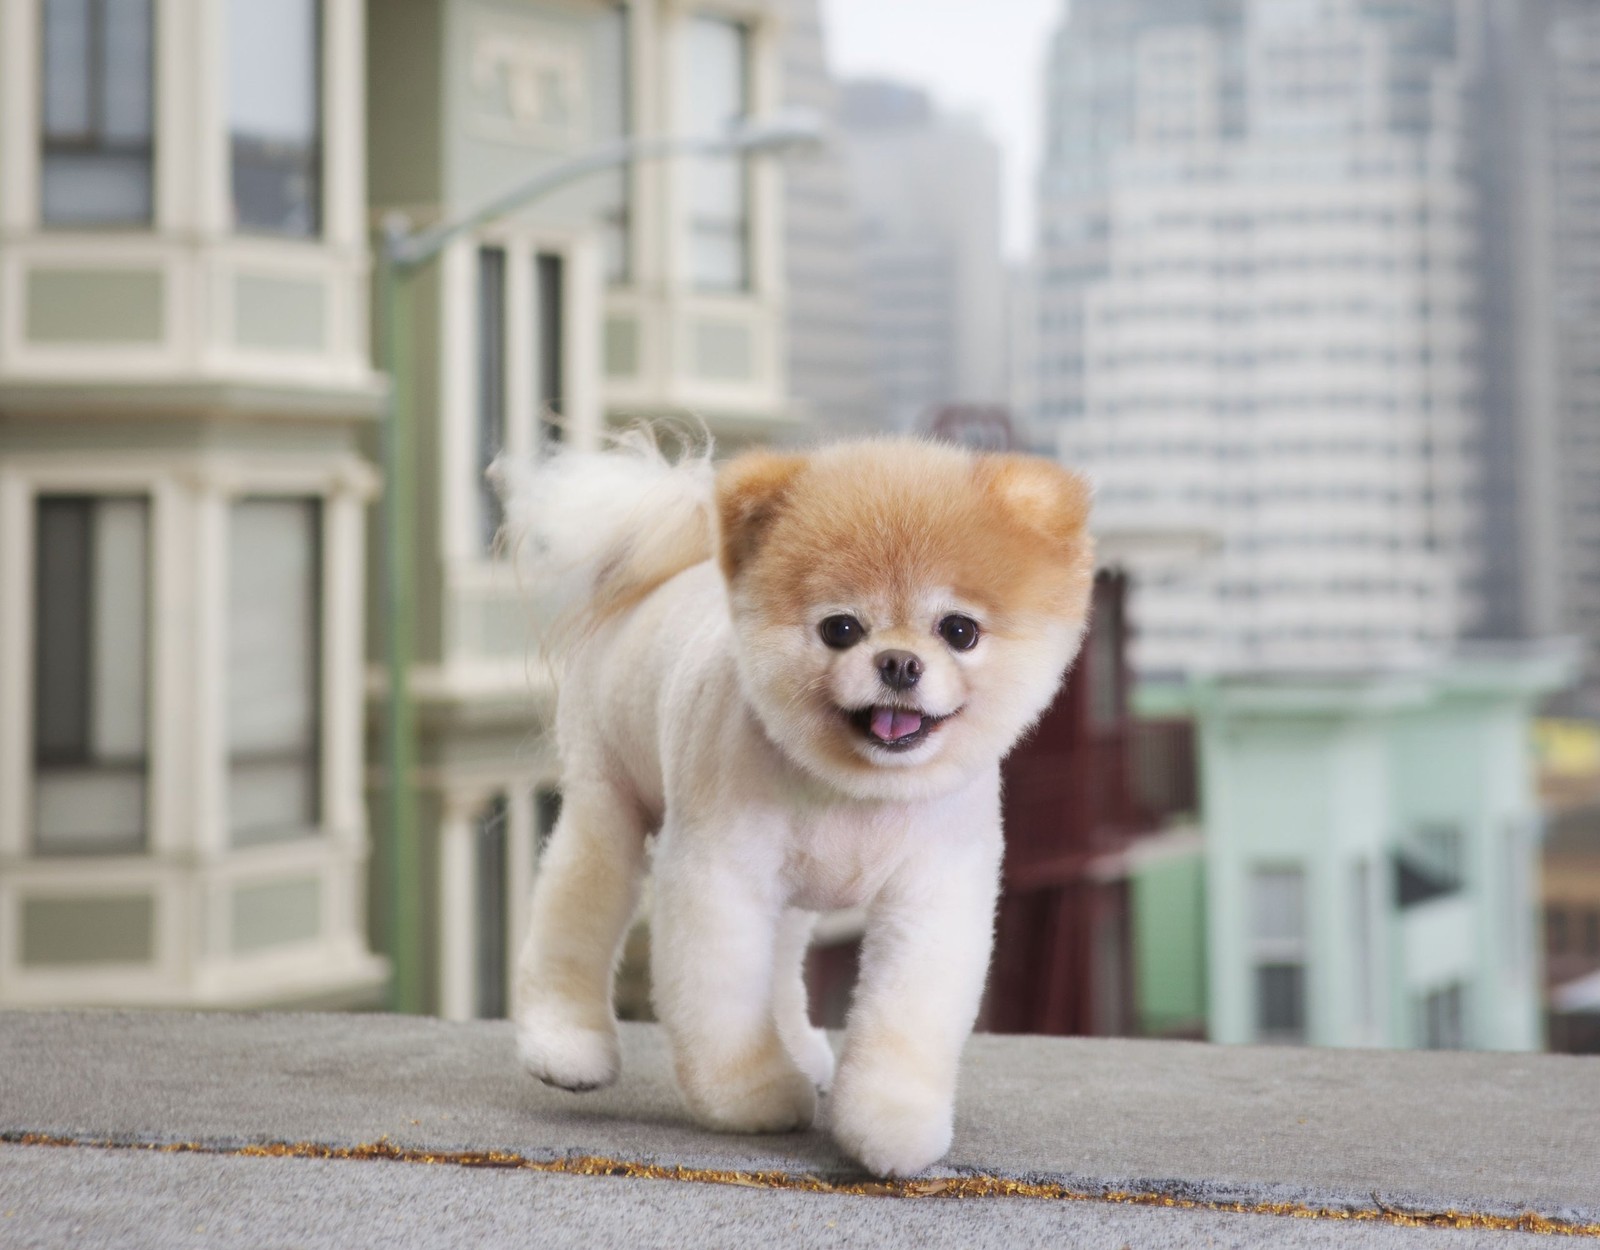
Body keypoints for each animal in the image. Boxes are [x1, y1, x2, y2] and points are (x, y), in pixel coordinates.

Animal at [499, 428, 1094, 1171]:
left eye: (959, 631)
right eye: (840, 629)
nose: (899, 663)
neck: (856, 791)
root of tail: (659, 573)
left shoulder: (932, 896)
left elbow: (905, 1017)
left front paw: (889, 1123)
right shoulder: (719, 880)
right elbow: (722, 1002)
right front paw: (752, 1098)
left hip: (789, 892)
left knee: (780, 965)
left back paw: (803, 1050)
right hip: (608, 802)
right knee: (577, 905)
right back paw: (566, 1046)